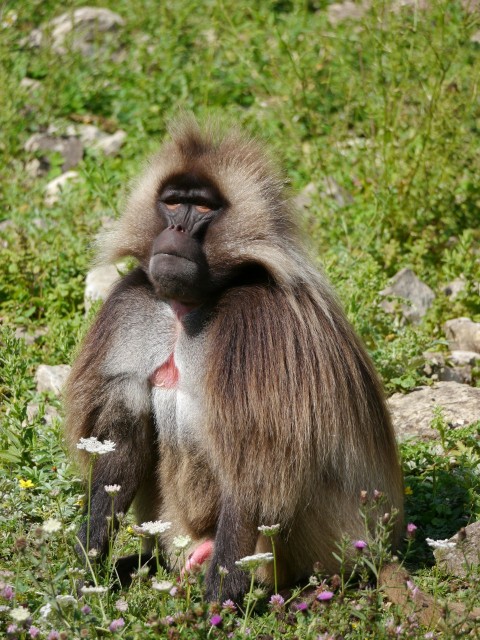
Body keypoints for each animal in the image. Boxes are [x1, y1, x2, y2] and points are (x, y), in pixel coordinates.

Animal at [65, 115, 404, 603]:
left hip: (332, 540)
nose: (177, 232)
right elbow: (122, 446)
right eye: (173, 202)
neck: (189, 307)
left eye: (203, 208)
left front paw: (219, 597)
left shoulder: (258, 325)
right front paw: (88, 565)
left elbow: (255, 465)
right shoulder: (132, 305)